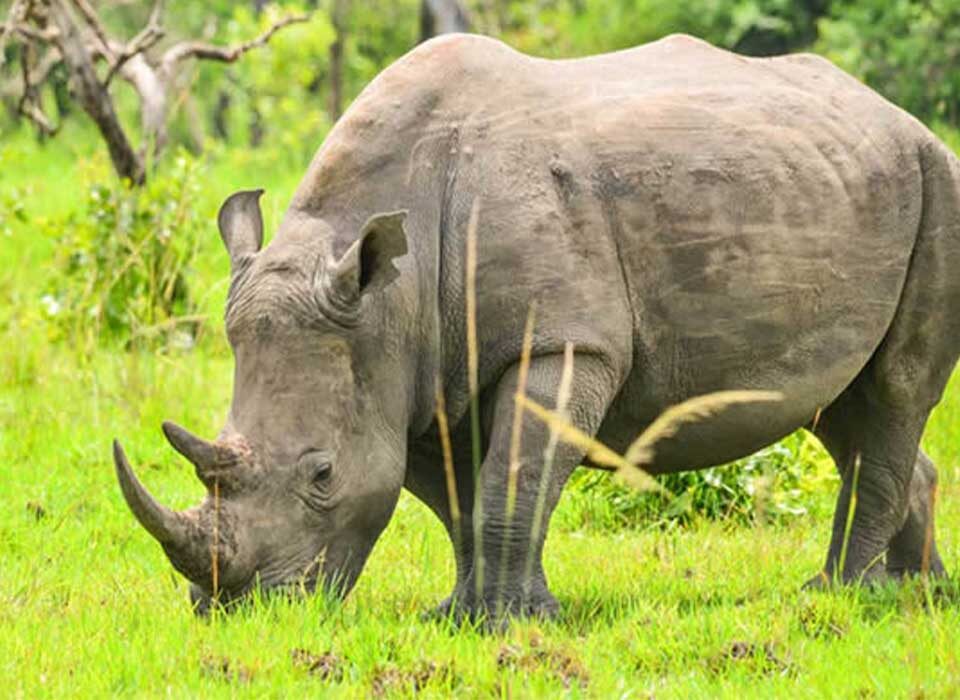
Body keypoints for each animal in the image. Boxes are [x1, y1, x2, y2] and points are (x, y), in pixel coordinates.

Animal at [113, 33, 960, 619]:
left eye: (320, 474)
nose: (235, 610)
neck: (388, 292)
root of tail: (901, 116)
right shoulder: (414, 373)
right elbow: (461, 498)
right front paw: (464, 615)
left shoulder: (564, 341)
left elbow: (513, 478)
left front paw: (511, 622)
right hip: (846, 181)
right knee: (840, 406)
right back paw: (917, 598)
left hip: (937, 182)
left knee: (893, 392)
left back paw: (836, 596)